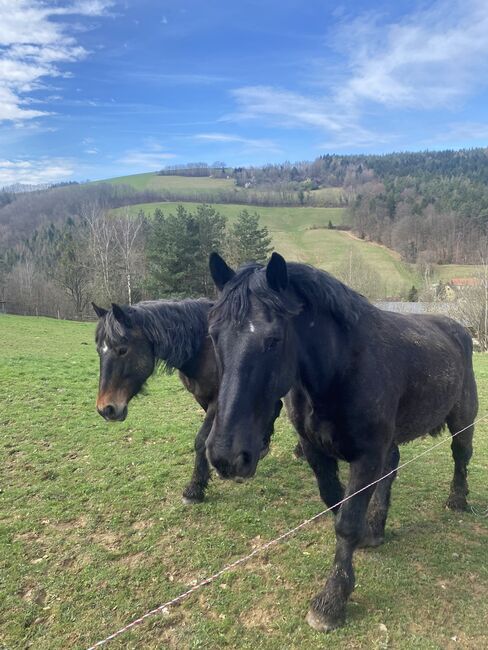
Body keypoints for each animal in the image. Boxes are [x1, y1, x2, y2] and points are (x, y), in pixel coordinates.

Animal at [92, 296, 282, 504]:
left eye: (122, 350)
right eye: (99, 351)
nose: (106, 409)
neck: (205, 350)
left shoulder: (217, 400)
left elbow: (201, 440)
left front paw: (194, 489)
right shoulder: (202, 397)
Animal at [206, 251, 476, 632]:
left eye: (273, 340)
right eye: (213, 335)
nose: (226, 456)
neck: (342, 367)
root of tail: (458, 329)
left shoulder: (366, 456)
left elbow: (346, 524)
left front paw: (331, 600)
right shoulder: (316, 450)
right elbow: (336, 503)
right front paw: (365, 535)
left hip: (462, 420)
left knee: (461, 456)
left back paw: (457, 500)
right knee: (393, 467)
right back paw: (377, 526)